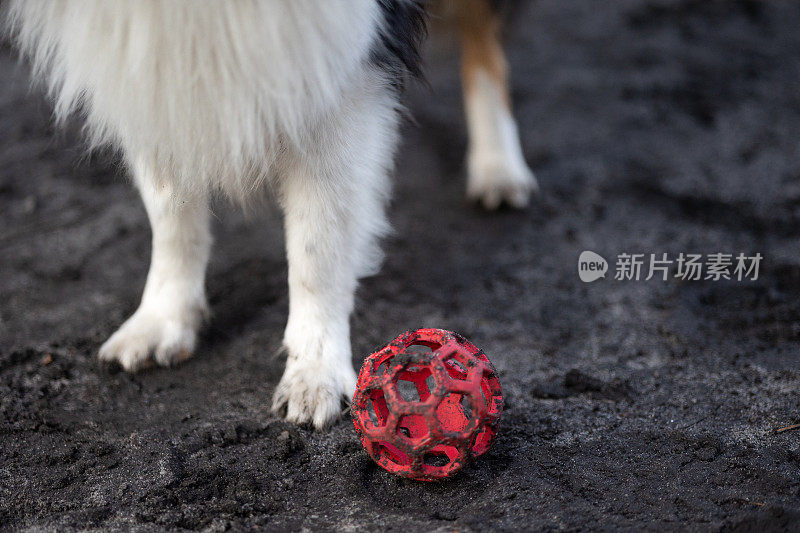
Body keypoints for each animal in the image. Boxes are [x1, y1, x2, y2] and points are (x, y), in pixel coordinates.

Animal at [3, 1, 536, 428]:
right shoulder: (144, 67)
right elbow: (170, 212)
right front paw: (162, 317)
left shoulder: (343, 65)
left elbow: (317, 247)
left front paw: (315, 373)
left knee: (483, 39)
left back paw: (498, 167)